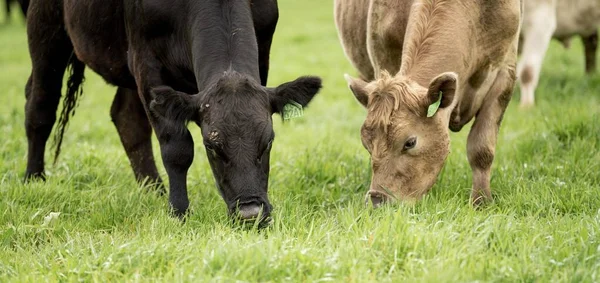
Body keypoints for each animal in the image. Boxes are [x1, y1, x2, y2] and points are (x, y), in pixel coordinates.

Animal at [25, 0, 322, 224]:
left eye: (268, 141)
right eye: (211, 146)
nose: (251, 213)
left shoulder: (263, 51)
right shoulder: (147, 65)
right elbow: (177, 149)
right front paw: (179, 212)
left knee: (127, 119)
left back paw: (153, 190)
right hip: (46, 31)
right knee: (39, 106)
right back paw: (34, 179)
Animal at [336, 0, 524, 206]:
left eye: (410, 142)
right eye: (366, 144)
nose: (377, 201)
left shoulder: (504, 71)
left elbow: (481, 148)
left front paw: (481, 201)